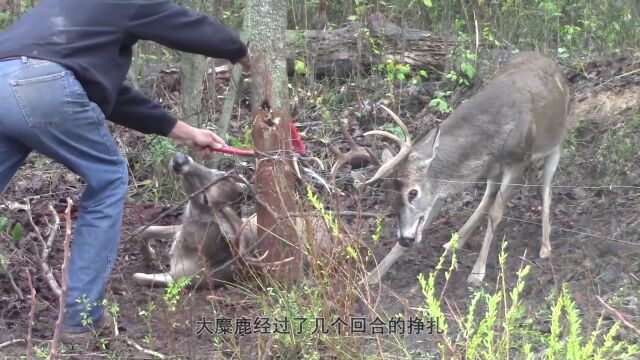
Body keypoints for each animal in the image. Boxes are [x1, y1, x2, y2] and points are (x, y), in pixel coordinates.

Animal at [364, 52, 568, 286]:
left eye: (413, 192)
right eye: (389, 196)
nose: (405, 239)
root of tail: (548, 59)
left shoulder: (519, 161)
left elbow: (496, 213)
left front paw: (477, 273)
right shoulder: (443, 186)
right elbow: (431, 217)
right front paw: (371, 276)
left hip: (556, 144)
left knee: (545, 190)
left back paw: (545, 247)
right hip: (493, 172)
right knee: (487, 198)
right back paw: (455, 241)